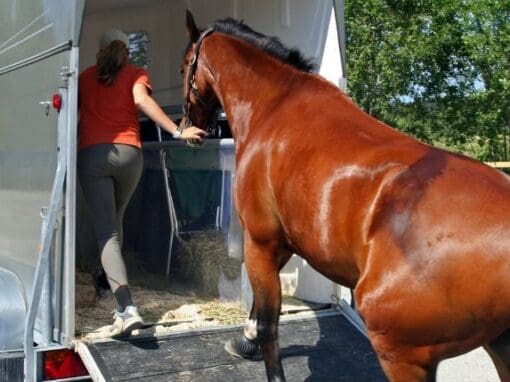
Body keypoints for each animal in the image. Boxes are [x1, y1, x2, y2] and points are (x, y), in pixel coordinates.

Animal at [181, 10, 510, 380]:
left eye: (183, 68)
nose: (189, 127)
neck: (275, 105)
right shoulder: (284, 241)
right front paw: (244, 341)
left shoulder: (260, 240)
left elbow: (268, 324)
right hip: (501, 345)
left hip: (403, 355)